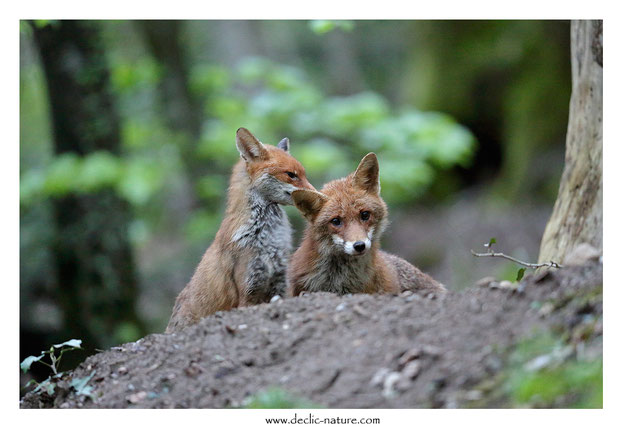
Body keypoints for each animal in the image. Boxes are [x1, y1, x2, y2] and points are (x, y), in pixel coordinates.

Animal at [166, 127, 314, 332]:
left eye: (304, 174)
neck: (267, 238)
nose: (317, 193)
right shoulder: (247, 291)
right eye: (291, 175)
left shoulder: (279, 284)